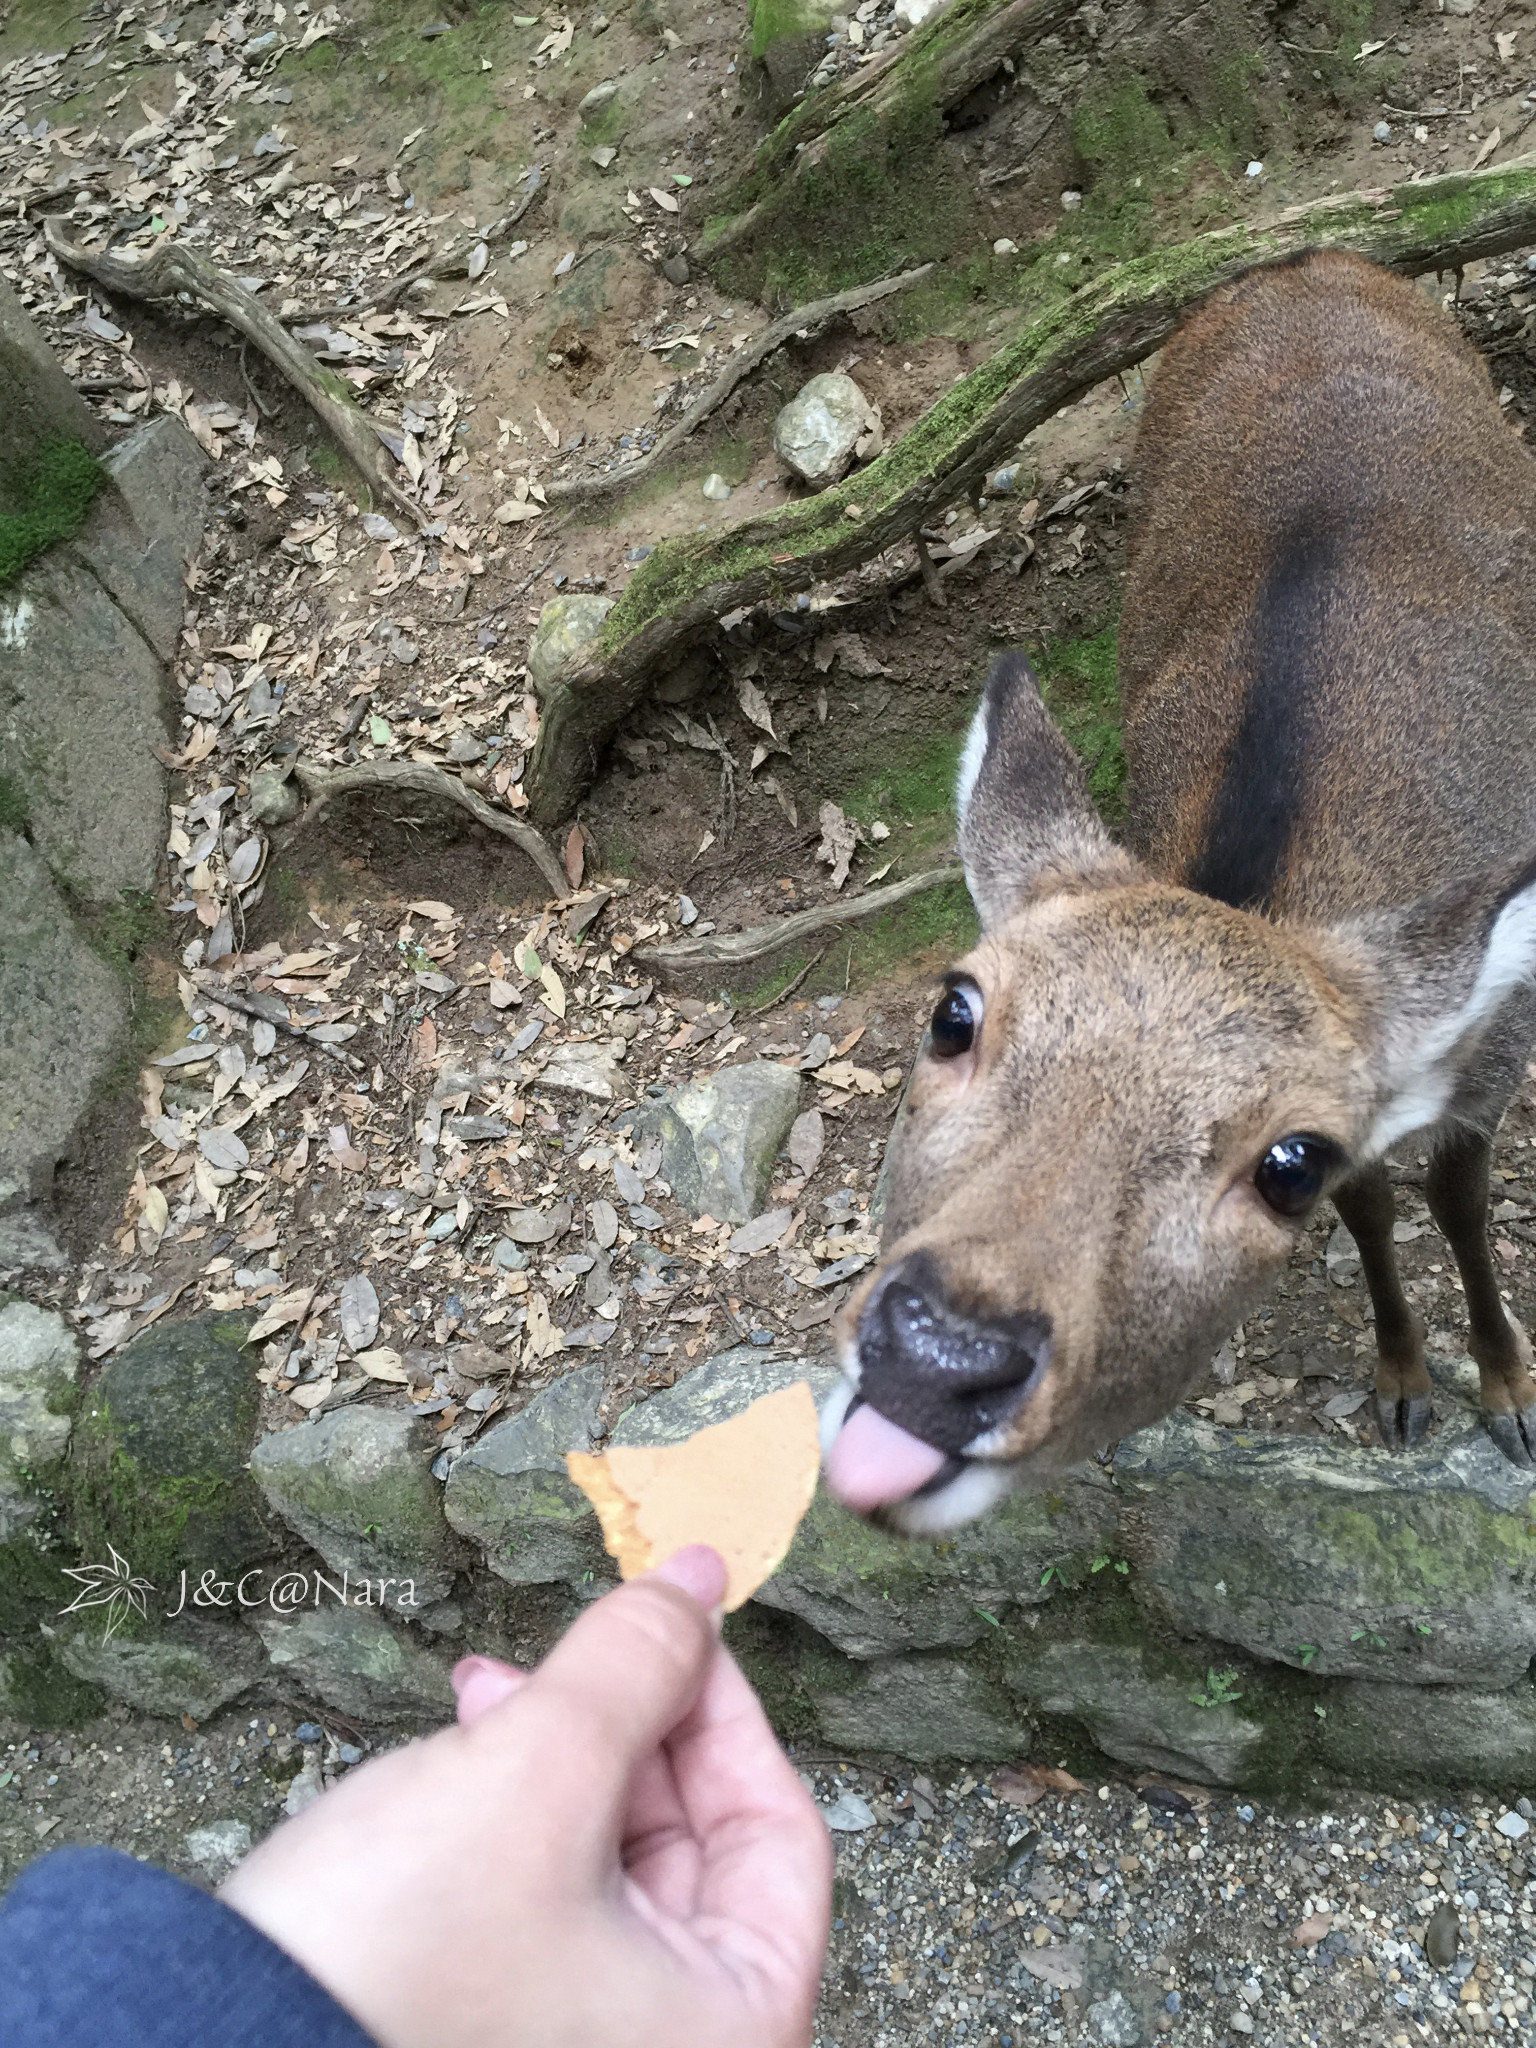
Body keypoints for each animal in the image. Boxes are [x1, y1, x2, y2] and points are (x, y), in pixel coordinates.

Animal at [823, 251, 1536, 1540]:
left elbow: (1455, 1197)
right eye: (953, 1009)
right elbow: (1377, 1206)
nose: (942, 1351)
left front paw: (1508, 1393)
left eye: (1290, 1160)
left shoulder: (1496, 1051)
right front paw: (1402, 1381)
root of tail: (1316, 256)